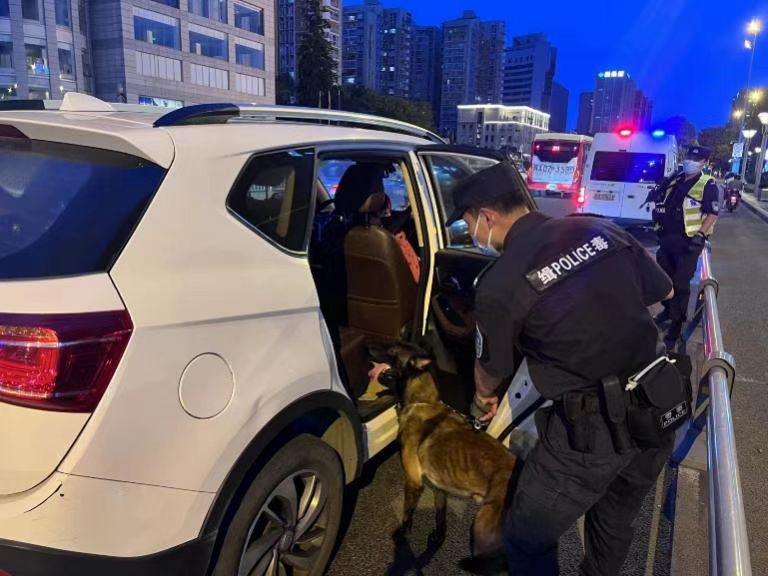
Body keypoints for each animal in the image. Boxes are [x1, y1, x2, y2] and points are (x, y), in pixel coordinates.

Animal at [369, 342, 517, 572]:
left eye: (392, 351)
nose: (366, 348)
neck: (422, 401)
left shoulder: (413, 482)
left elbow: (407, 516)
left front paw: (401, 537)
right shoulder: (440, 488)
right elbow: (440, 516)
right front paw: (438, 538)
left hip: (482, 529)